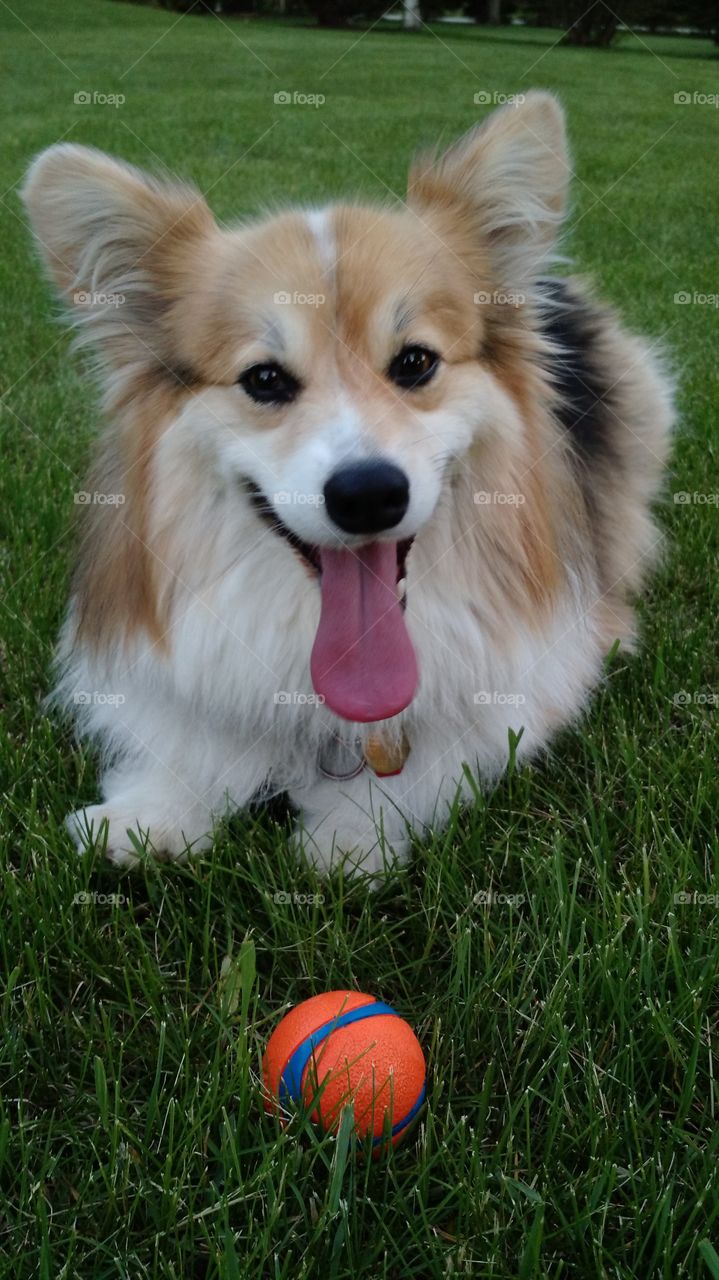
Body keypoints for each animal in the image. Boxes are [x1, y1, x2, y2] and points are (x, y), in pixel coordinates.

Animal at [22, 94, 670, 880]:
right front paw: (154, 812)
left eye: (416, 362)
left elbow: (437, 752)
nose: (367, 495)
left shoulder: (517, 688)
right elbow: (194, 731)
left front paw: (353, 830)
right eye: (264, 379)